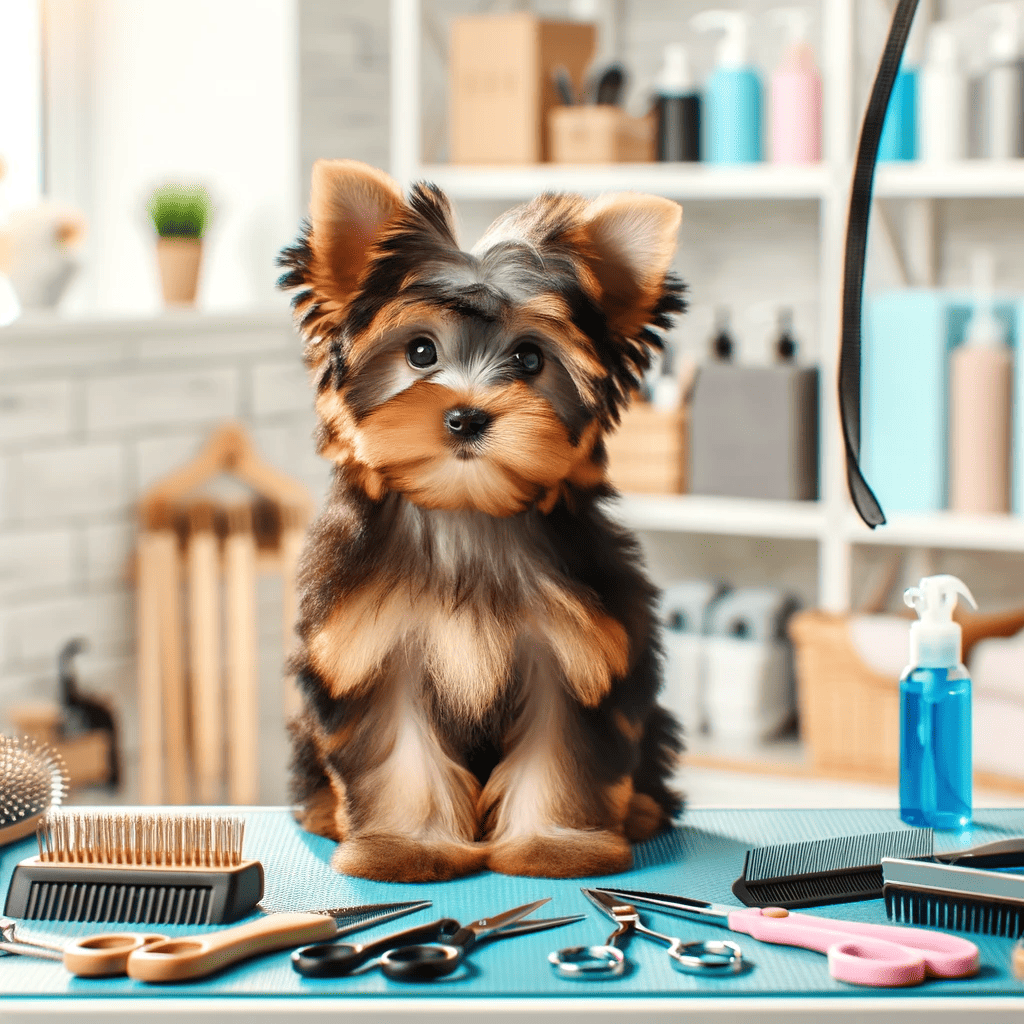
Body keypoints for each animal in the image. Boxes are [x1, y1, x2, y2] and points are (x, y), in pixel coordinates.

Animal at [276, 159, 684, 880]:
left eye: (529, 358)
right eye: (419, 352)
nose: (466, 417)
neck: (467, 513)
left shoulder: (575, 654)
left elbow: (562, 748)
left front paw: (554, 845)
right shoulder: (374, 649)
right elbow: (400, 753)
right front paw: (408, 847)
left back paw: (638, 810)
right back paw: (325, 810)